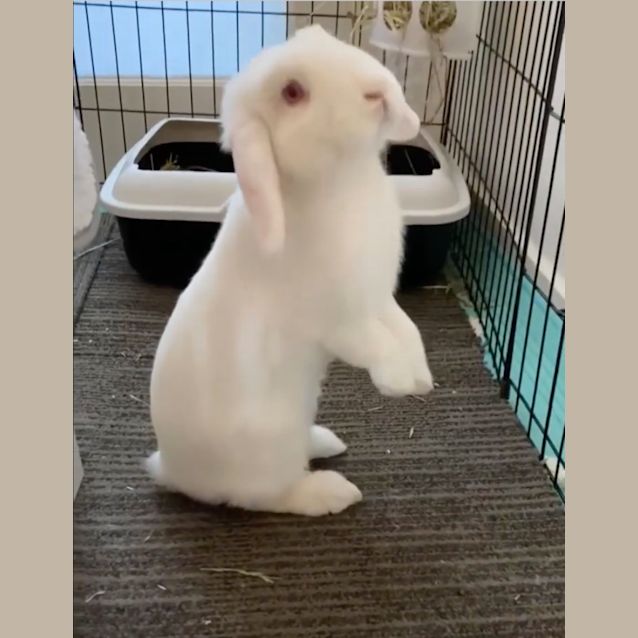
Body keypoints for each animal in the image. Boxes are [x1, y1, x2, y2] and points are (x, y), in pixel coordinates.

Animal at [146, 25, 436, 516]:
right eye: (293, 93)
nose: (378, 91)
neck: (344, 179)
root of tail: (173, 470)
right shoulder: (341, 321)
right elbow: (376, 343)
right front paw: (397, 383)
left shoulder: (378, 298)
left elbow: (407, 328)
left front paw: (422, 376)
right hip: (269, 454)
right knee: (268, 496)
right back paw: (332, 491)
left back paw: (325, 441)